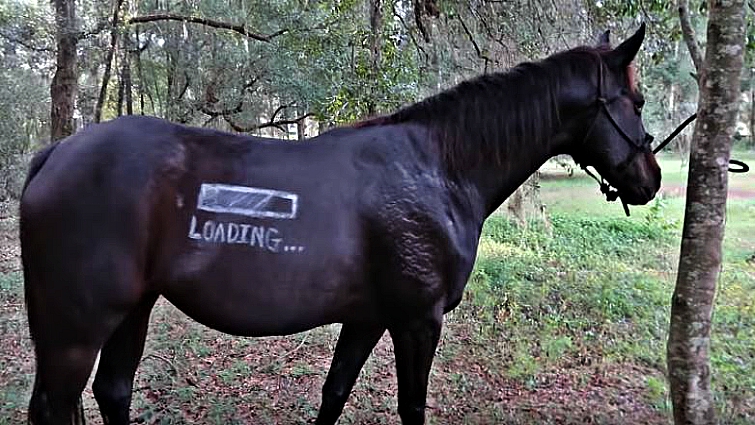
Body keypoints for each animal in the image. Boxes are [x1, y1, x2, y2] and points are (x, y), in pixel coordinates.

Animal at [20, 24, 659, 425]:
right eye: (639, 102)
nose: (649, 179)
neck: (438, 166)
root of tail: (55, 154)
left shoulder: (368, 317)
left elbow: (334, 394)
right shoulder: (417, 321)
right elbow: (410, 407)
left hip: (133, 308)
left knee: (113, 391)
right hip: (76, 330)